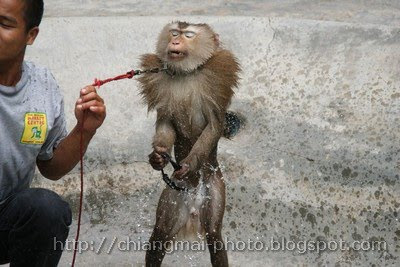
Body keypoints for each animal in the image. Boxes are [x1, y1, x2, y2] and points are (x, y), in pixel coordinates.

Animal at [136, 21, 239, 267]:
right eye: (175, 32)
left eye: (188, 35)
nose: (175, 41)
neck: (187, 73)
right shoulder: (161, 84)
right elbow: (165, 123)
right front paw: (157, 158)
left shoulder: (217, 79)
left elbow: (213, 126)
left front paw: (189, 164)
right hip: (173, 197)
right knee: (160, 235)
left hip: (213, 191)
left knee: (214, 235)